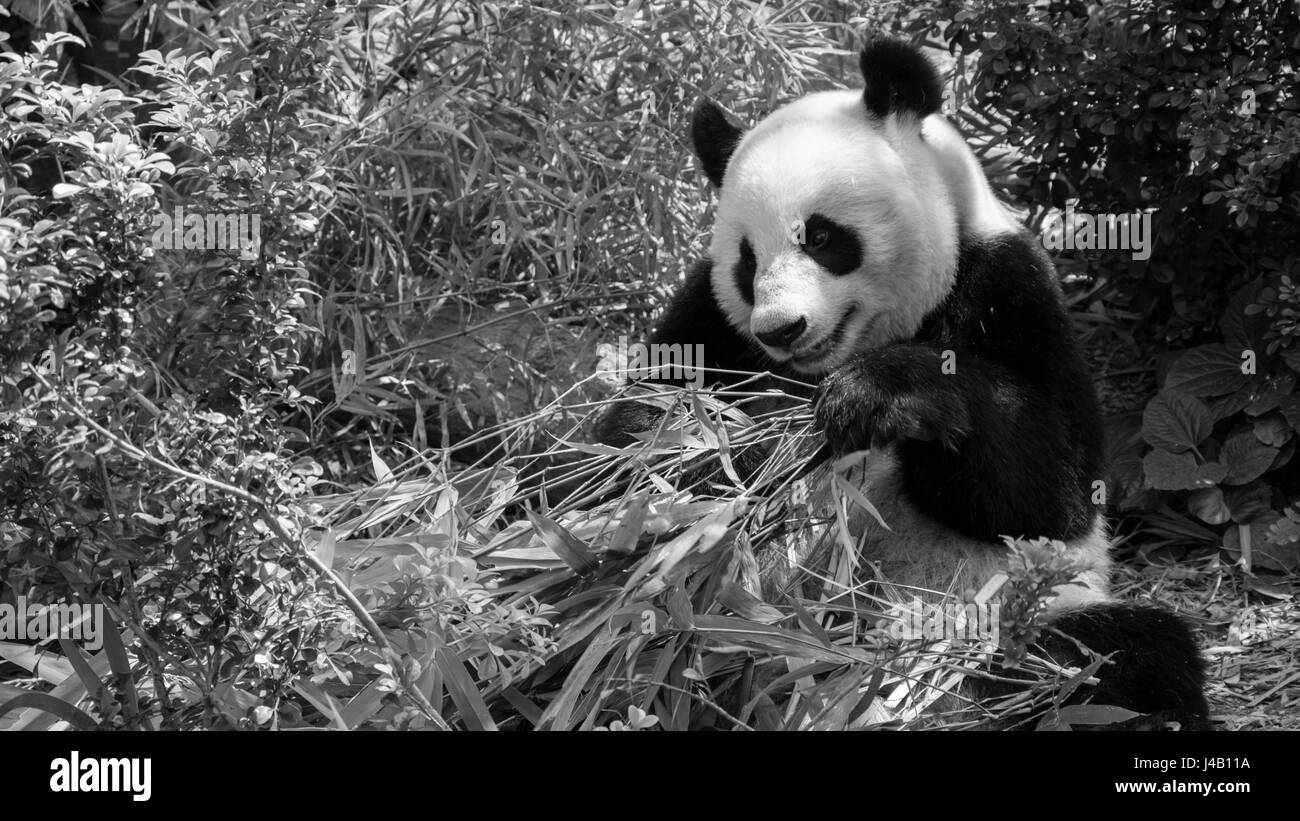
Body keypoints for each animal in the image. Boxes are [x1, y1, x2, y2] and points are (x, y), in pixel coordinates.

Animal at [595, 35, 1206, 727]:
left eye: (822, 236)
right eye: (748, 262)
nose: (781, 329)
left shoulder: (1008, 285)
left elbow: (1051, 492)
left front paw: (874, 396)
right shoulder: (712, 318)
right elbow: (631, 443)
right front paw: (737, 450)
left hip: (1019, 615)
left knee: (1125, 657)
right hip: (716, 622)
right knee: (651, 634)